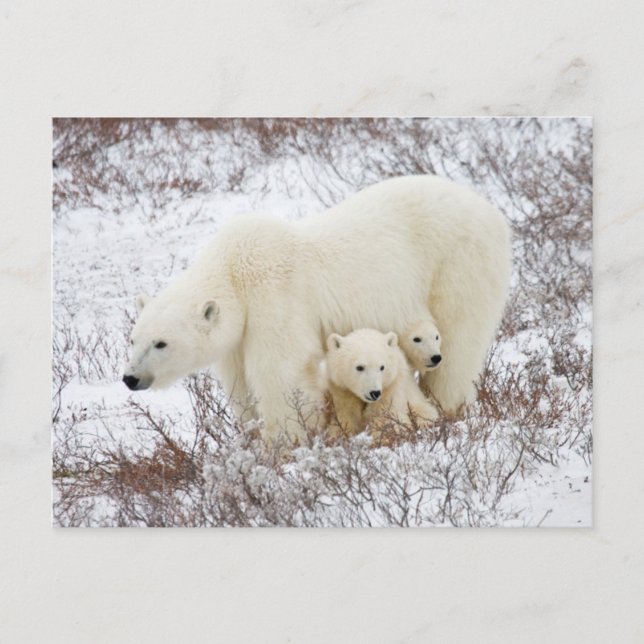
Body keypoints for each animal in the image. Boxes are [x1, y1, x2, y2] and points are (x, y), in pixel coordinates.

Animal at [123, 175, 511, 443]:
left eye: (161, 343)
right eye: (133, 339)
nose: (130, 378)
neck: (234, 273)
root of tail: (490, 209)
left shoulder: (274, 297)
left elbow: (282, 373)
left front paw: (283, 445)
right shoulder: (237, 336)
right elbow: (241, 384)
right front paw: (251, 434)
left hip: (457, 263)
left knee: (457, 343)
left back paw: (448, 407)